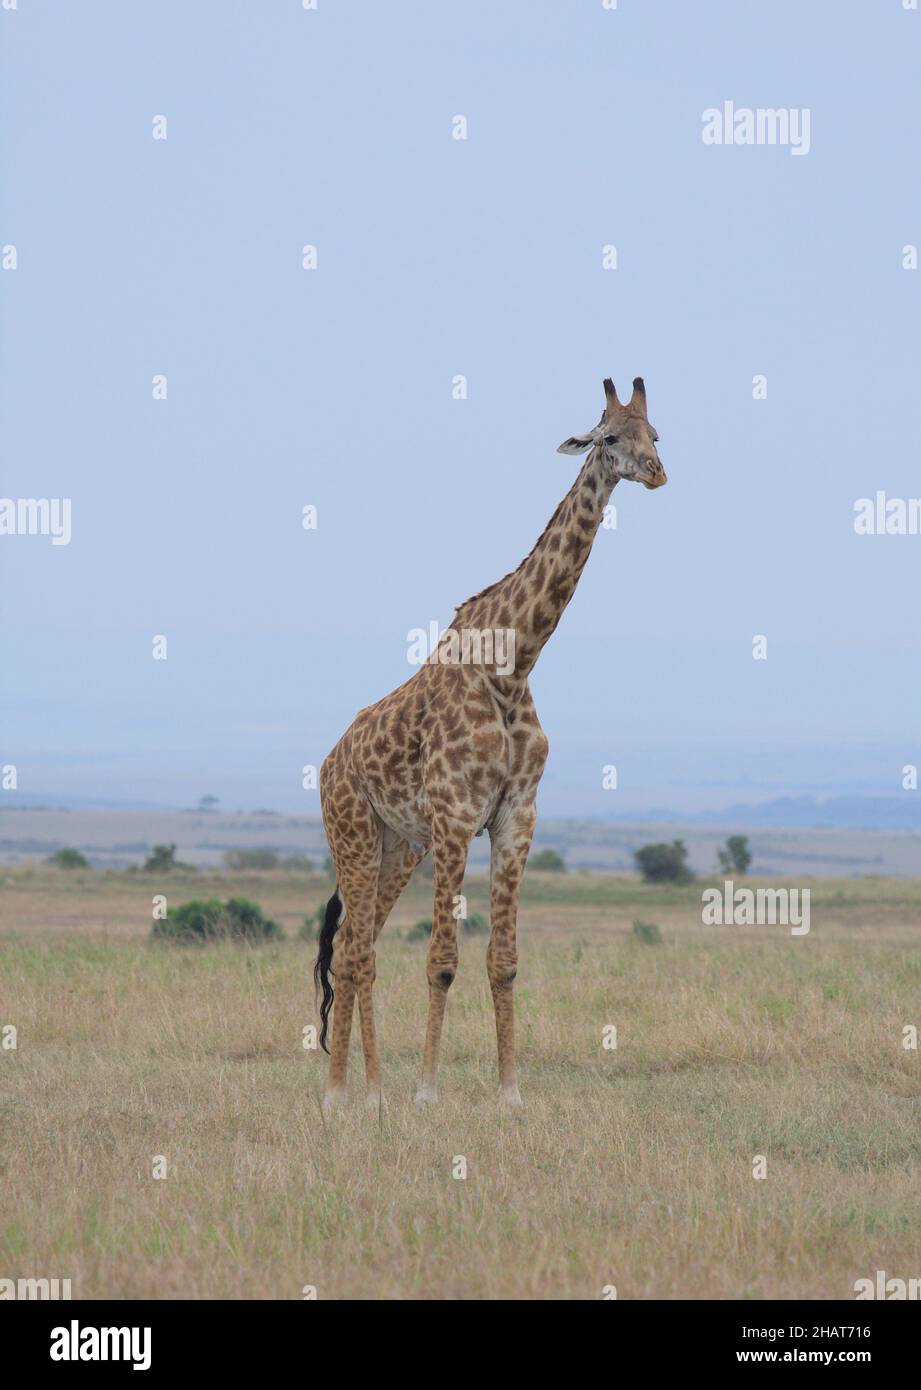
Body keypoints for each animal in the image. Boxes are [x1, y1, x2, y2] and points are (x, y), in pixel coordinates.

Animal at [315, 376, 667, 1110]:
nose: (657, 473)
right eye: (609, 437)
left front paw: (509, 1093)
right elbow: (442, 961)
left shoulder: (515, 815)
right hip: (353, 834)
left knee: (360, 949)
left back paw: (368, 1091)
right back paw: (345, 1096)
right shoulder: (455, 816)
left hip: (398, 847)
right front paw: (427, 1092)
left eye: (656, 433)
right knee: (354, 952)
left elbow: (502, 963)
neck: (514, 663)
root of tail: (329, 762)